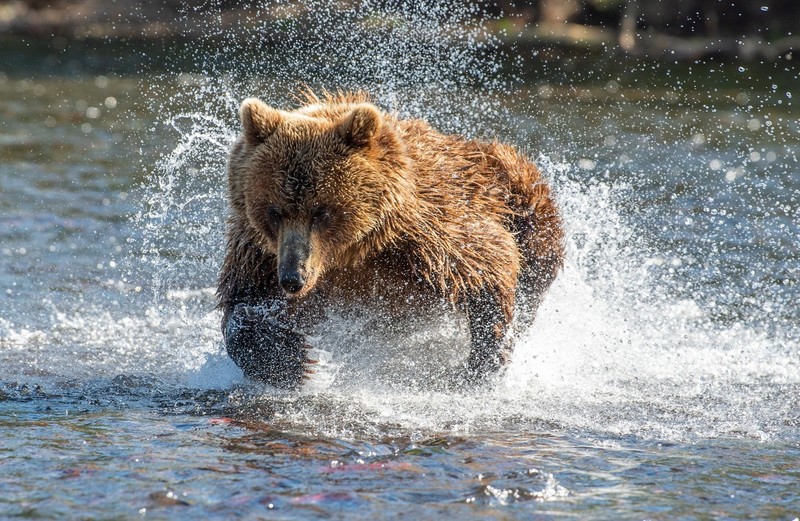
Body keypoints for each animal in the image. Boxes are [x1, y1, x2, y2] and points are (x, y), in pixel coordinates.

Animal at [214, 91, 564, 388]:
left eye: (321, 211)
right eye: (274, 211)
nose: (292, 277)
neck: (352, 252)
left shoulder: (430, 234)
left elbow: (488, 262)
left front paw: (482, 362)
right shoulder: (259, 252)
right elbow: (241, 301)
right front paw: (295, 359)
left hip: (523, 199)